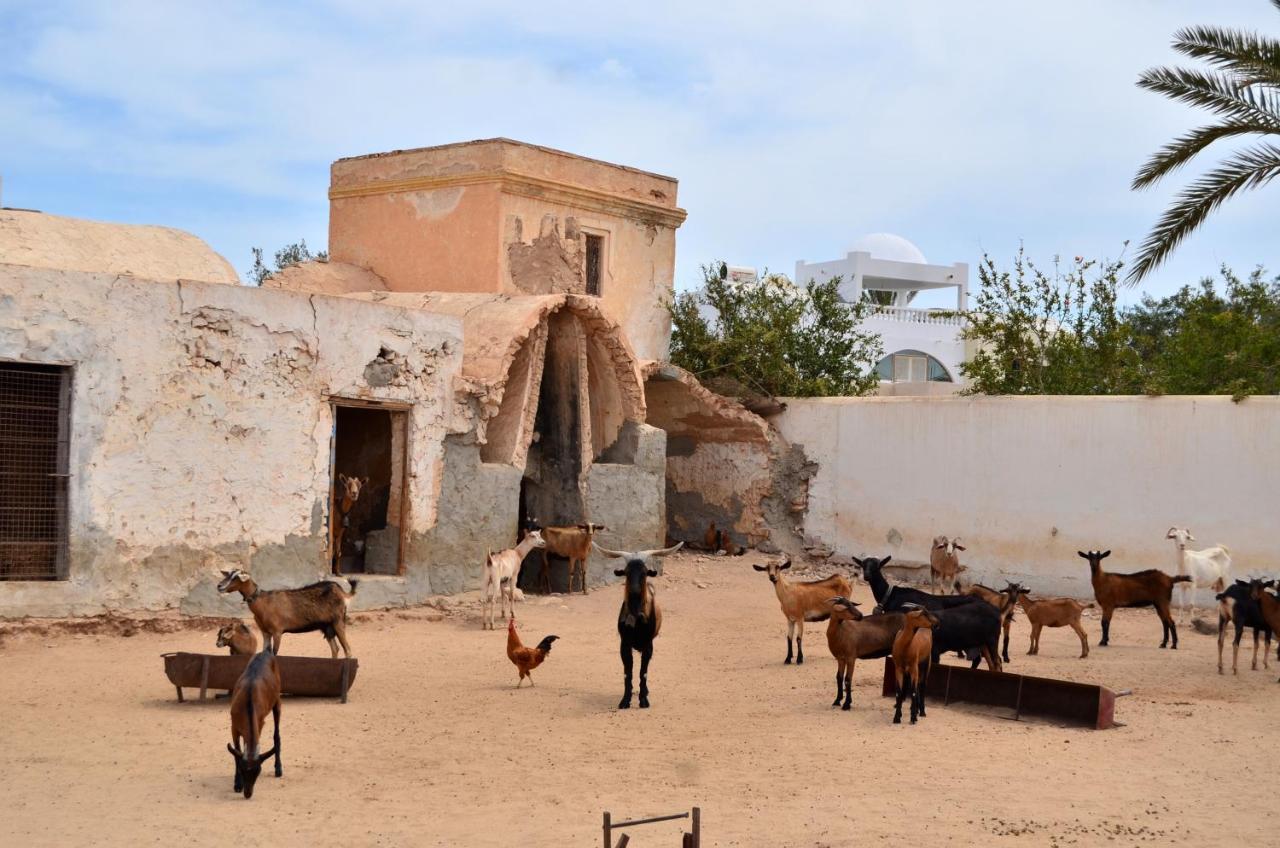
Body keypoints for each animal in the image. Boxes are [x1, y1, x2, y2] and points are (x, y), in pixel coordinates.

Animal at [215, 571, 355, 655]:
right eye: (228, 574)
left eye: (236, 577)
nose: (219, 586)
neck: (262, 602)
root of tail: (340, 590)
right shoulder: (265, 632)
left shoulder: (277, 632)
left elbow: (274, 654)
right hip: (326, 626)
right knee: (335, 649)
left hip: (338, 621)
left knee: (347, 649)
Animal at [227, 650, 282, 804]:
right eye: (242, 769)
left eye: (258, 771)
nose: (248, 793)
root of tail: (266, 651)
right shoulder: (233, 726)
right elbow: (237, 752)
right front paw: (237, 784)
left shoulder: (259, 723)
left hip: (278, 699)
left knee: (277, 734)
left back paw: (278, 769)